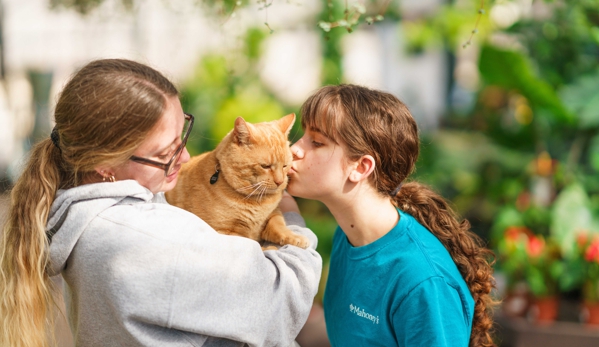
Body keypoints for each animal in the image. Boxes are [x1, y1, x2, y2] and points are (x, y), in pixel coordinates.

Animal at [168, 114, 310, 250]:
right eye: (265, 166)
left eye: (285, 165)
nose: (280, 181)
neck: (256, 200)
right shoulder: (226, 233)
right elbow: (256, 246)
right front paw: (269, 248)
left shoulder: (274, 213)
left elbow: (279, 225)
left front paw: (295, 238)